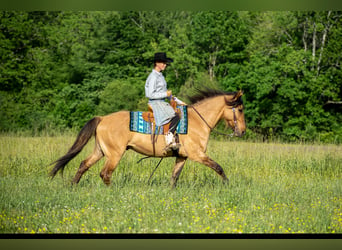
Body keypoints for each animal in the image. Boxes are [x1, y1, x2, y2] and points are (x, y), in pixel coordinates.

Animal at [49, 88, 246, 188]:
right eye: (240, 109)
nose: (243, 132)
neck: (197, 122)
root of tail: (103, 118)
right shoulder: (197, 155)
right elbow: (218, 167)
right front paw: (228, 186)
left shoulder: (182, 156)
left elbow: (174, 177)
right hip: (114, 154)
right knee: (105, 173)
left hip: (100, 151)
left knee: (84, 164)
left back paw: (73, 186)